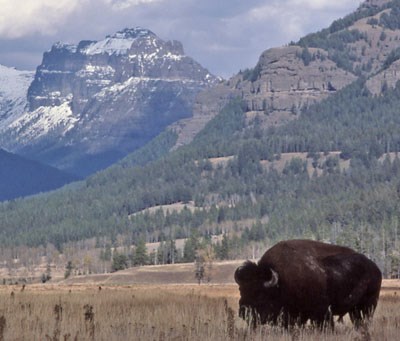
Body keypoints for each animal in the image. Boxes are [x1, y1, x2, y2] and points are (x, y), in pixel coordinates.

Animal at [234, 238, 382, 328]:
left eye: (259, 292)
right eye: (241, 289)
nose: (243, 311)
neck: (280, 283)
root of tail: (375, 268)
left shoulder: (322, 312)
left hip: (369, 305)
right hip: (354, 310)